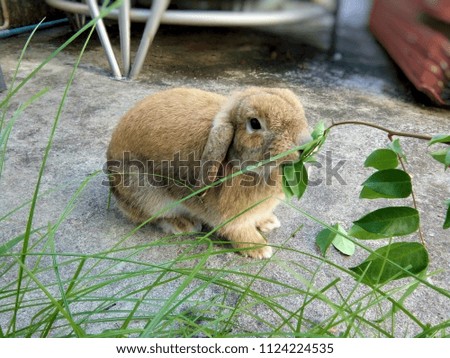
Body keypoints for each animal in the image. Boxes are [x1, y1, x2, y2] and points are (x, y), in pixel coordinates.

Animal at [107, 88, 312, 258]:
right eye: (255, 123)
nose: (307, 144)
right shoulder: (232, 217)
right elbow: (238, 230)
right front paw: (259, 249)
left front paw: (268, 222)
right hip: (145, 193)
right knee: (149, 217)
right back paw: (184, 224)